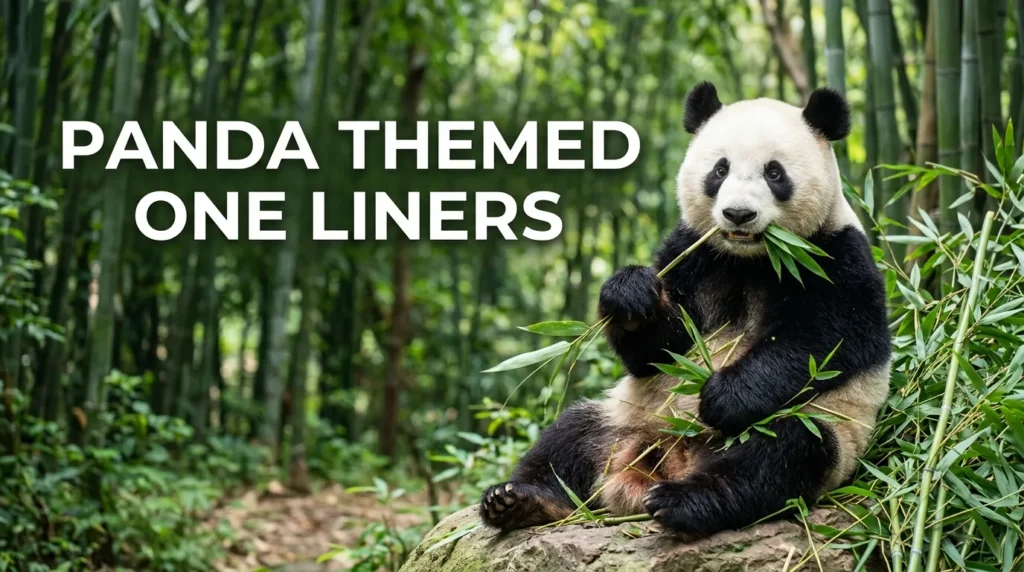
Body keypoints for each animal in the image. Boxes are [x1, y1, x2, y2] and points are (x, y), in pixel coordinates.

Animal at [479, 81, 892, 537]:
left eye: (774, 173)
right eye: (720, 170)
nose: (738, 214)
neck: (751, 257)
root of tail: (659, 463)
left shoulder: (834, 255)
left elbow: (825, 343)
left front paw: (722, 397)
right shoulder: (693, 250)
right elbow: (659, 350)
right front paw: (630, 295)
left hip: (825, 430)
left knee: (781, 455)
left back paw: (685, 501)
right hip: (623, 417)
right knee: (567, 437)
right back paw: (517, 501)